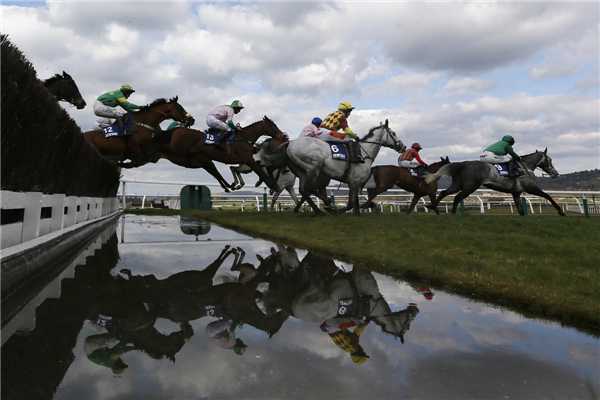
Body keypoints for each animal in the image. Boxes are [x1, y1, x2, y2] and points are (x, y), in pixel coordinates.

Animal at [155, 115, 286, 192]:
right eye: (273, 125)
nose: (282, 135)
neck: (244, 139)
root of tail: (177, 129)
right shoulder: (248, 159)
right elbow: (261, 172)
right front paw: (273, 186)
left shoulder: (244, 160)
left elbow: (240, 169)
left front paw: (237, 184)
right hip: (177, 150)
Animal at [424, 148, 564, 216]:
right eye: (550, 159)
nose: (555, 173)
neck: (525, 167)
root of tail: (463, 163)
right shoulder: (531, 188)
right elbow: (548, 196)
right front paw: (561, 211)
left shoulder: (516, 193)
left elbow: (521, 210)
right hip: (470, 187)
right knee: (457, 198)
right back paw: (452, 214)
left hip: (457, 185)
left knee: (444, 193)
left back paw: (433, 206)